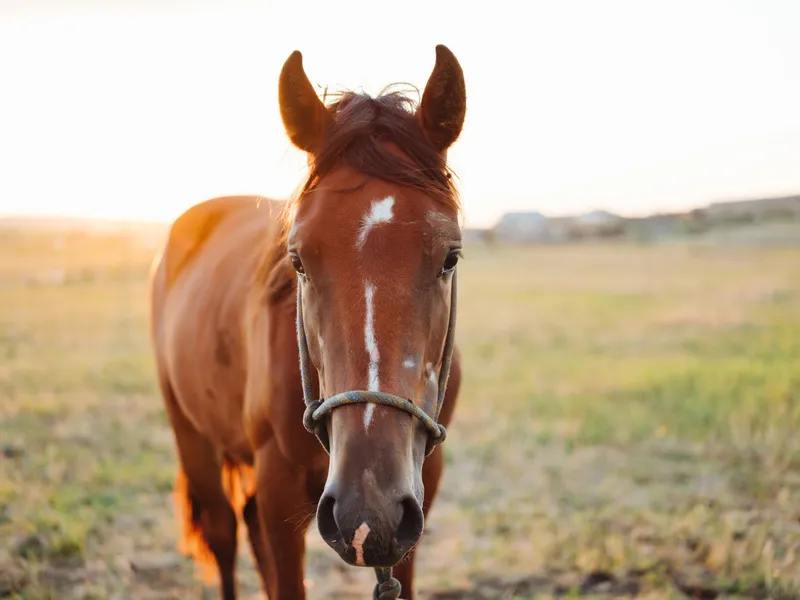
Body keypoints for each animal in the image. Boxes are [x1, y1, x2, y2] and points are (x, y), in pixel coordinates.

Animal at [148, 44, 466, 600]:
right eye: (297, 260)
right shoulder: (279, 486)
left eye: (450, 256)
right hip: (191, 434)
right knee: (224, 533)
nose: (368, 512)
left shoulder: (418, 495)